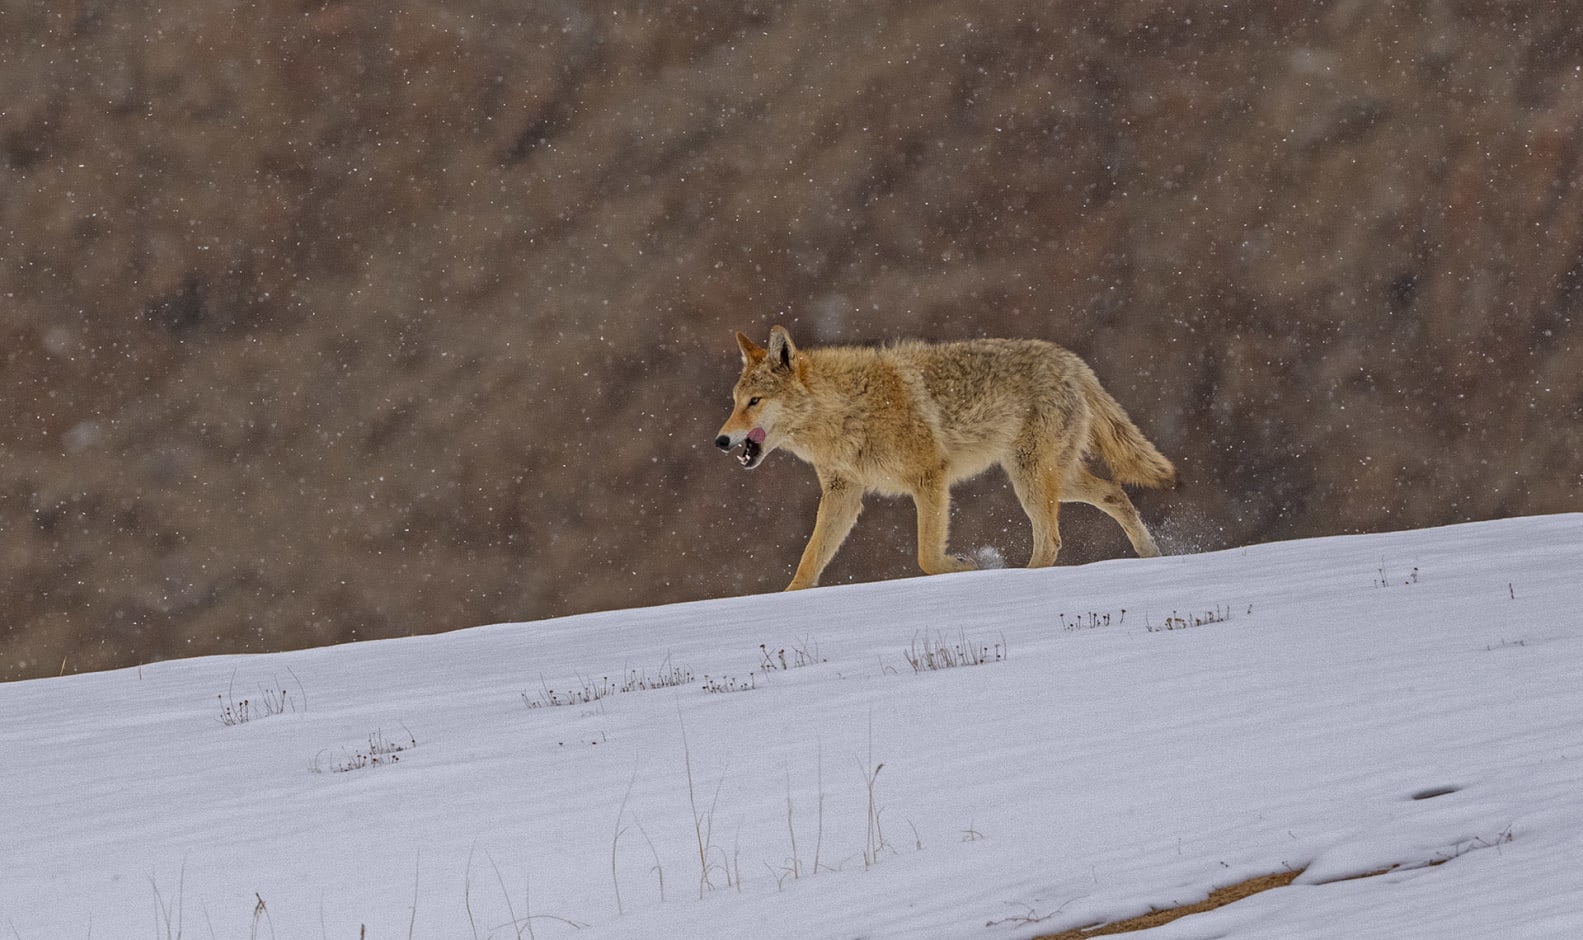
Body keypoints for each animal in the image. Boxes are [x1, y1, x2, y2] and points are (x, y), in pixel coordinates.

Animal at [715, 326, 1176, 590]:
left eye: (755, 402)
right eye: (735, 402)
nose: (720, 441)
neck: (848, 410)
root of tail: (1073, 361)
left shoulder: (930, 480)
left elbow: (928, 559)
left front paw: (974, 568)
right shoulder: (844, 494)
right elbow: (806, 567)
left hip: (1033, 480)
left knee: (1053, 539)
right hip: (1054, 478)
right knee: (1114, 493)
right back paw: (1153, 557)